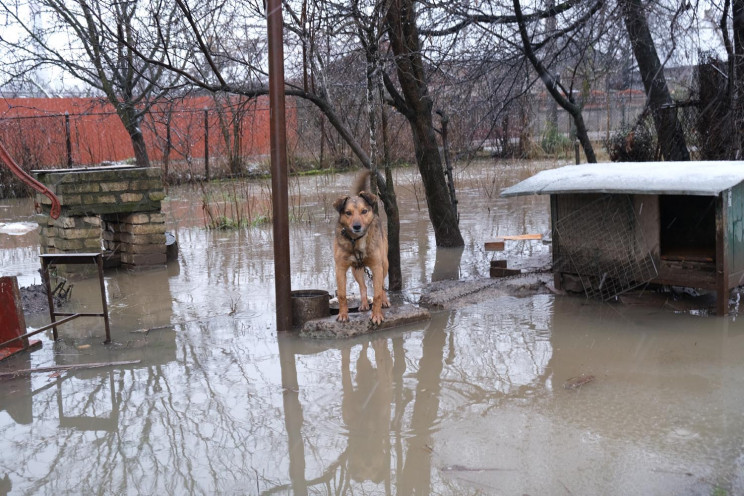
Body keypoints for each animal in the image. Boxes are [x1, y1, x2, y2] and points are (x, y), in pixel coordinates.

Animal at [332, 172, 390, 324]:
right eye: (348, 213)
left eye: (364, 211)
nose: (357, 226)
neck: (356, 241)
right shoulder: (340, 268)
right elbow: (342, 294)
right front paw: (343, 314)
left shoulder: (377, 266)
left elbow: (377, 294)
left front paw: (377, 315)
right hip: (356, 269)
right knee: (363, 286)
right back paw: (364, 304)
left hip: (384, 264)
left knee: (382, 286)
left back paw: (385, 301)